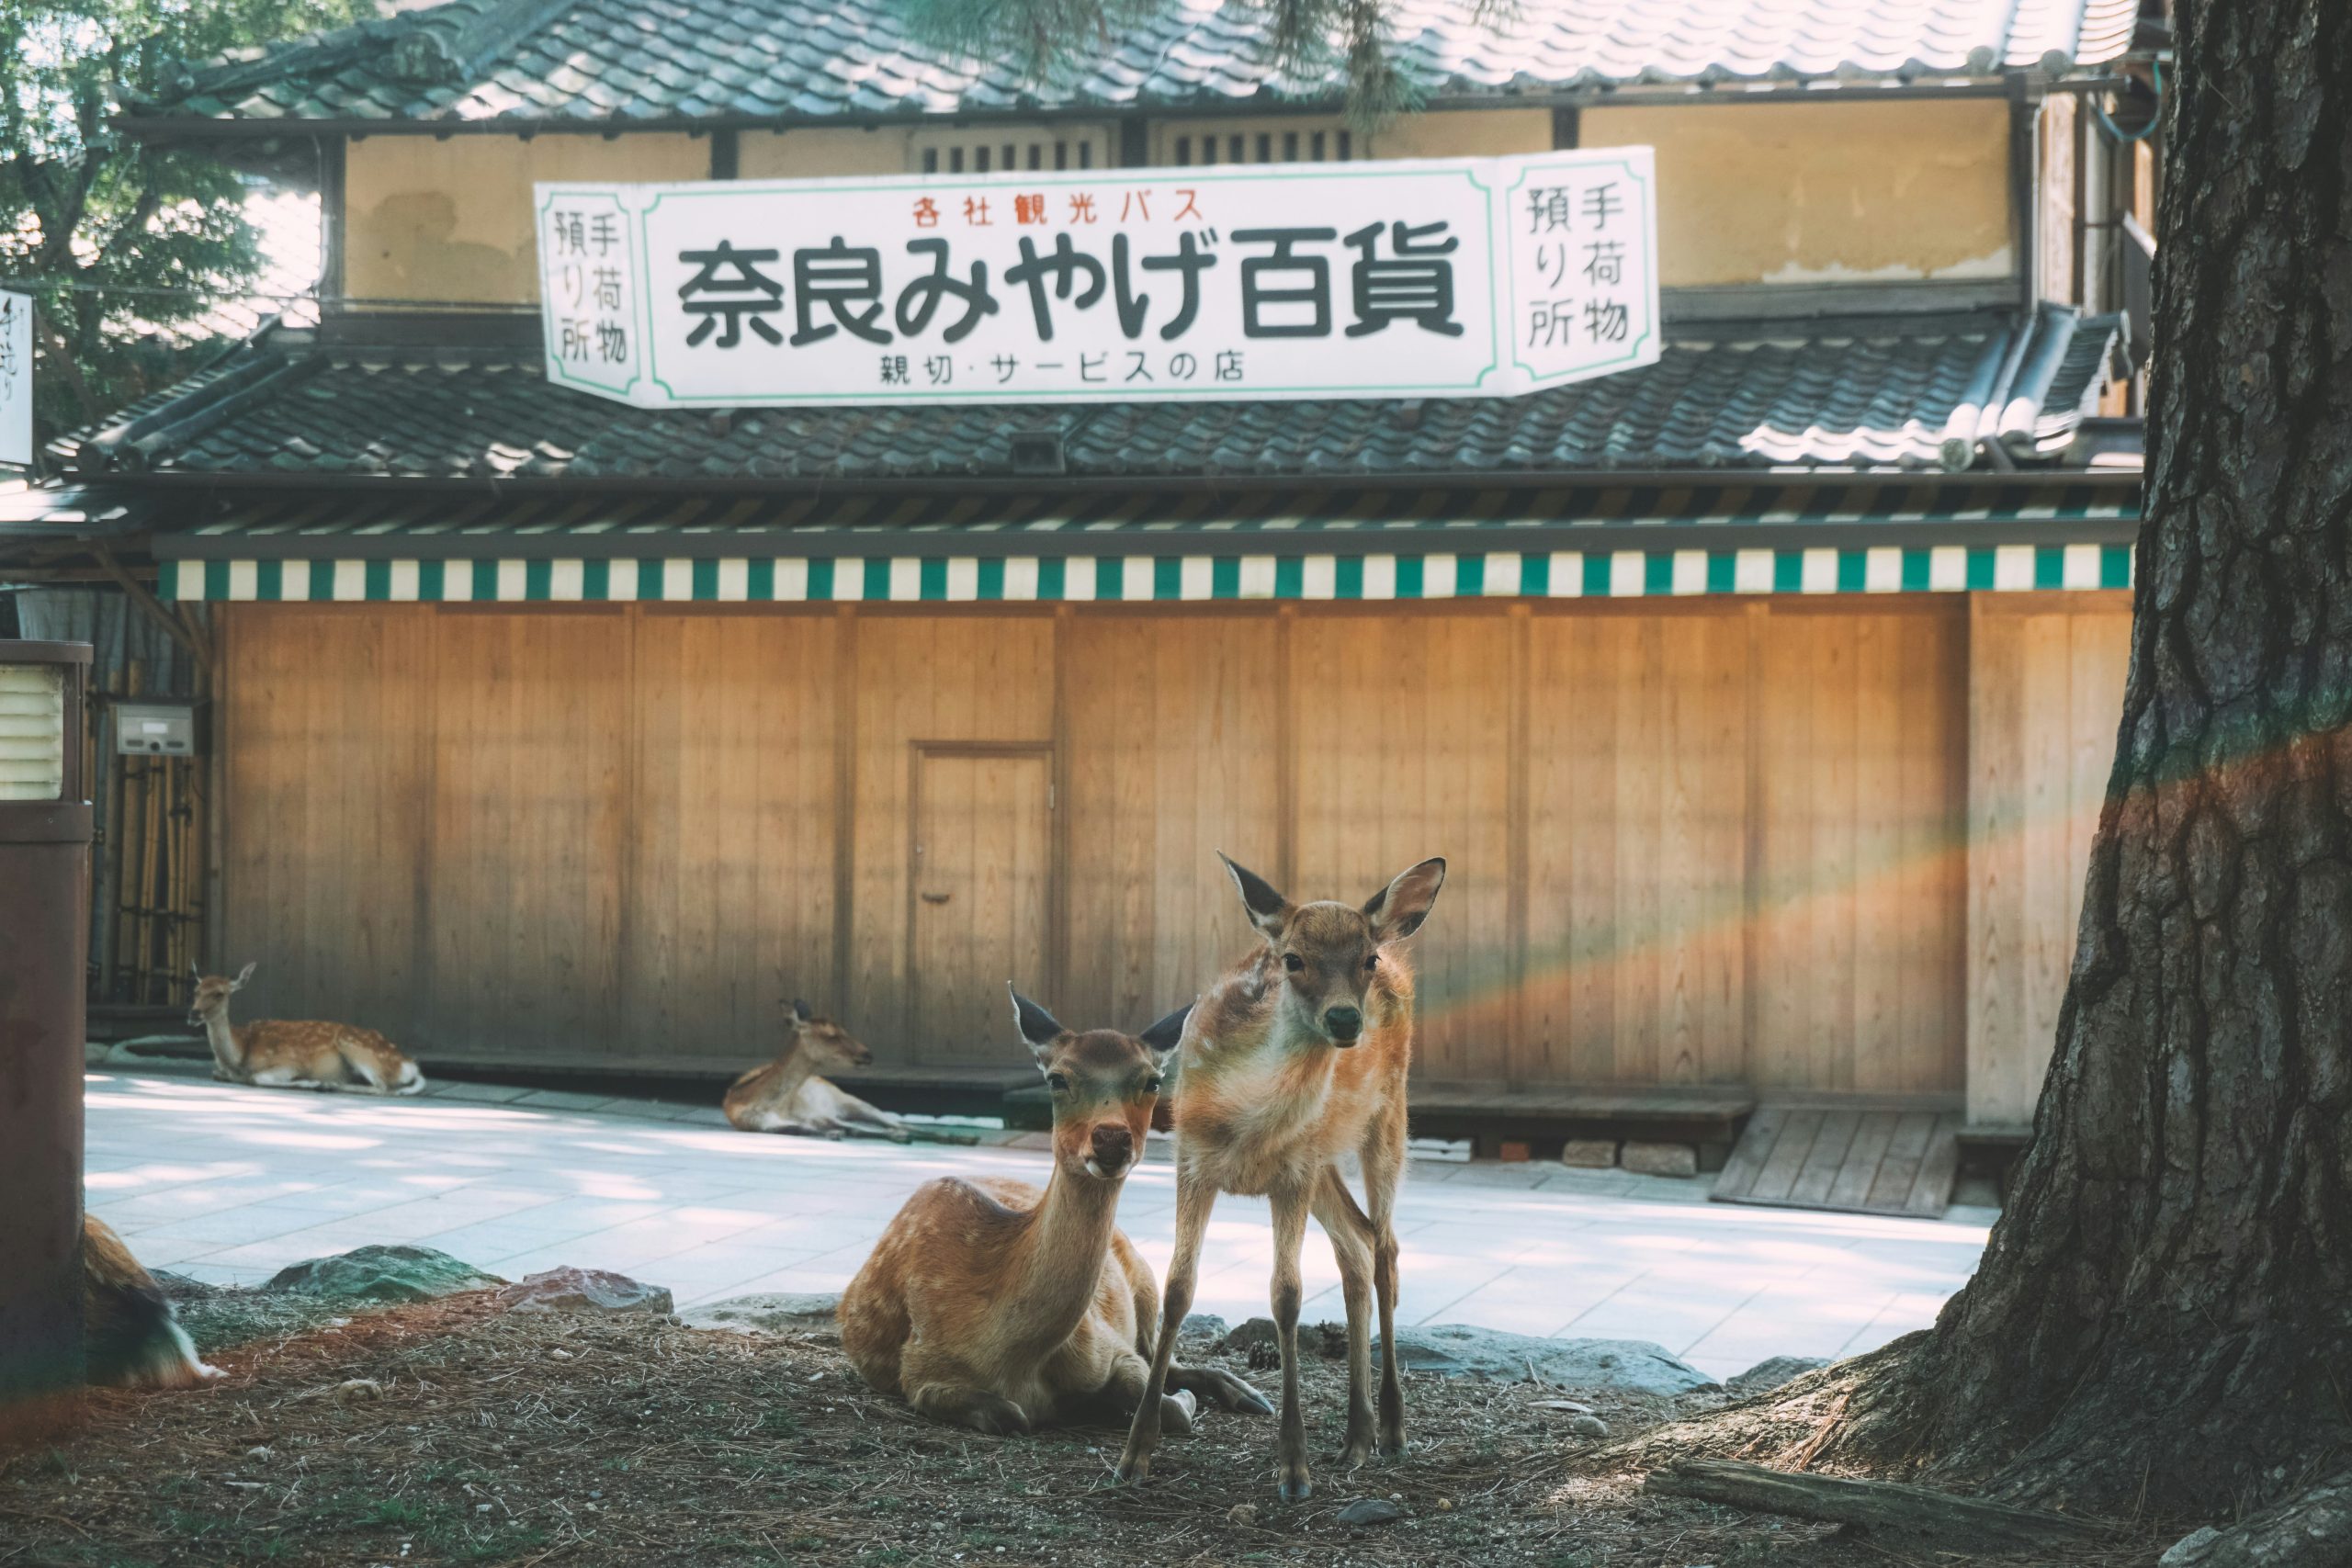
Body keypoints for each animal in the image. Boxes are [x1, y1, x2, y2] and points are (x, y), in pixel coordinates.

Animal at [186, 962, 425, 1095]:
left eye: (219, 993)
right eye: (196, 990)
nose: (193, 1014)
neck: (239, 1056)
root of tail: (409, 1064)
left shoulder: (289, 1062)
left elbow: (257, 1078)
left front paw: (311, 1082)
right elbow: (217, 1074)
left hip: (357, 1047)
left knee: (383, 1087)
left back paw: (329, 1085)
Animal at [723, 999, 910, 1141]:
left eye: (844, 1029)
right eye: (831, 1035)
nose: (868, 1054)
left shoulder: (817, 1114)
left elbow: (852, 1128)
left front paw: (900, 1135)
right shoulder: (763, 1125)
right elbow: (803, 1129)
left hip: (849, 1100)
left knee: (890, 1120)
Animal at [839, 987, 1272, 1436]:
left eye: (1152, 1080)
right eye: (1057, 1079)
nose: (1111, 1137)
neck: (1016, 1358)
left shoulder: (1109, 1344)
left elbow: (1161, 1401)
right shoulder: (921, 1369)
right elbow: (1010, 1414)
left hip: (1146, 1283)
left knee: (1163, 1357)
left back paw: (1250, 1394)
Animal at [1117, 852, 1446, 1501]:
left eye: (1364, 960)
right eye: (1292, 959)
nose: (1345, 1018)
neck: (1246, 1121)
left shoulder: (1293, 1170)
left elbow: (1286, 1297)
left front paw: (1294, 1468)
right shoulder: (1190, 1159)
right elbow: (1177, 1289)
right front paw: (1135, 1453)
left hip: (1387, 1119)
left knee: (1387, 1248)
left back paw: (1391, 1428)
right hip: (1324, 1162)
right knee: (1356, 1245)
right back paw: (1356, 1436)